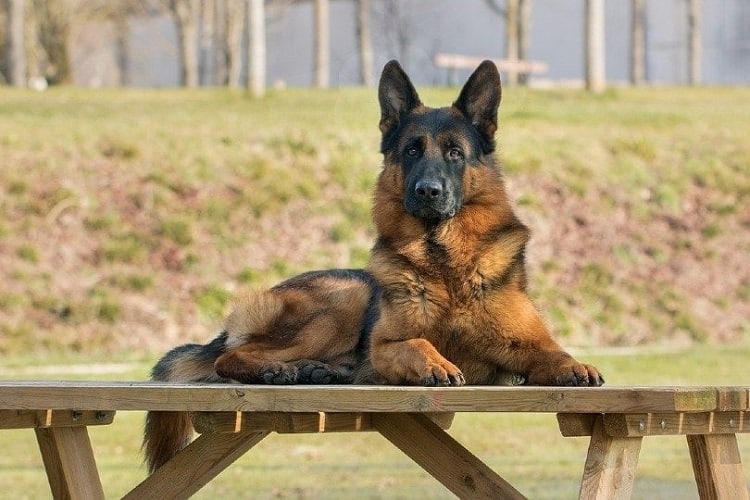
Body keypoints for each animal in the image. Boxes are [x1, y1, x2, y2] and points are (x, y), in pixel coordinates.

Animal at [145, 59, 604, 472]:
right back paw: (278, 369)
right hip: (344, 300)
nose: (428, 191)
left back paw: (317, 371)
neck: (444, 264)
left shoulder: (527, 345)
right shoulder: (385, 347)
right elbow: (417, 343)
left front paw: (575, 366)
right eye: (412, 150)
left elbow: (554, 352)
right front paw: (436, 363)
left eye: (455, 153)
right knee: (230, 357)